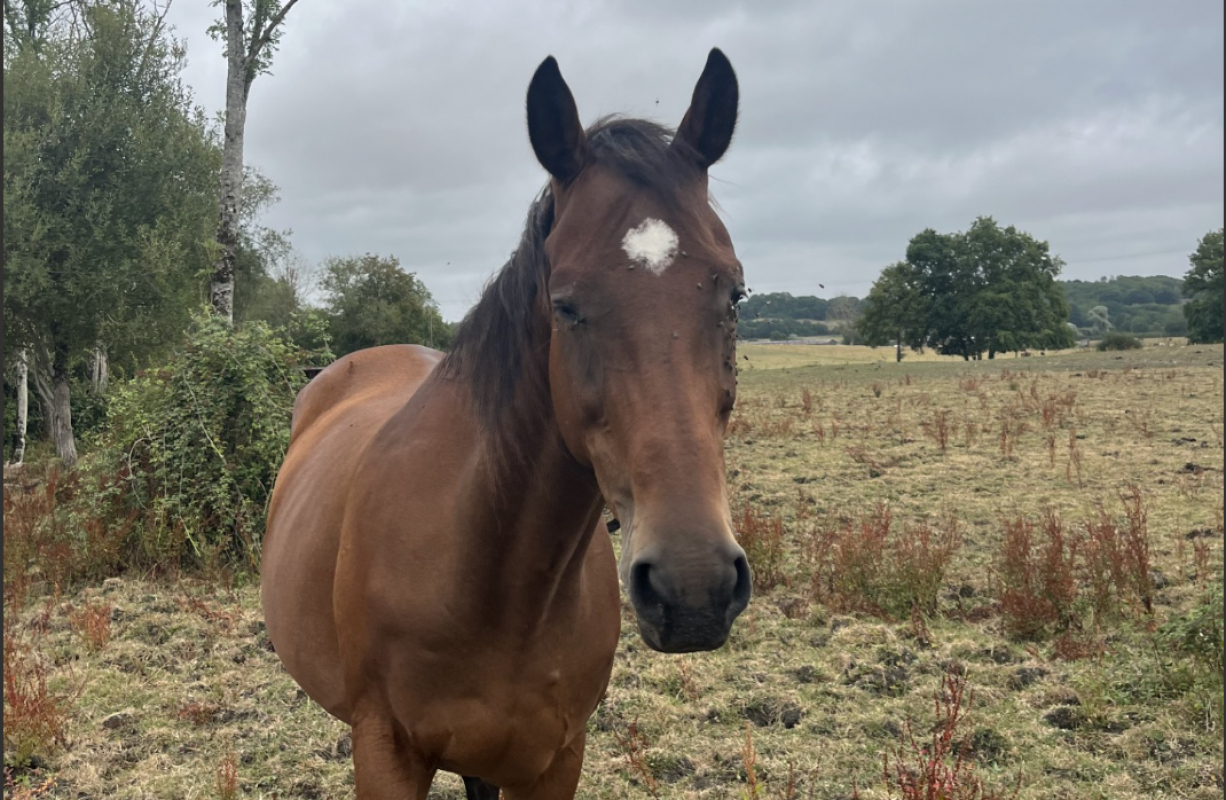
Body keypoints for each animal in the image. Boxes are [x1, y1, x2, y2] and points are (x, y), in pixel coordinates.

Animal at [261, 48, 751, 799]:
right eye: (566, 303)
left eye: (734, 293)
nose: (693, 585)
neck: (491, 576)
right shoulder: (384, 752)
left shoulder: (553, 759)